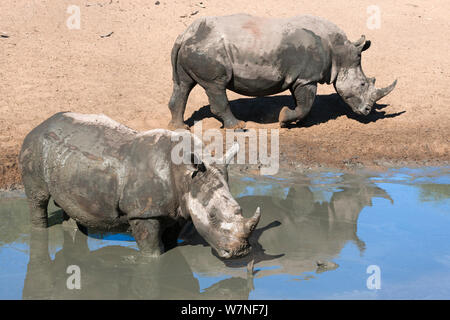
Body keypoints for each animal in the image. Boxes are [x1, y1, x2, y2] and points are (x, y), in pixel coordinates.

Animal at [20, 112, 260, 258]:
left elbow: (171, 240)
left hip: (68, 161)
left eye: (239, 209)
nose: (241, 252)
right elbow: (153, 251)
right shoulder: (143, 212)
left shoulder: (177, 208)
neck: (187, 177)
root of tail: (40, 124)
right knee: (38, 198)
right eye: (212, 216)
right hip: (34, 146)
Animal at [169, 13, 398, 129]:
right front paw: (284, 118)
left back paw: (179, 128)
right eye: (362, 84)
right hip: (209, 49)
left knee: (183, 85)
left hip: (195, 46)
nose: (366, 112)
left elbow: (302, 103)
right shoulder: (307, 78)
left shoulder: (298, 78)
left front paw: (298, 121)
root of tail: (184, 35)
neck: (340, 53)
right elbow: (305, 104)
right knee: (216, 86)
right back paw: (238, 126)